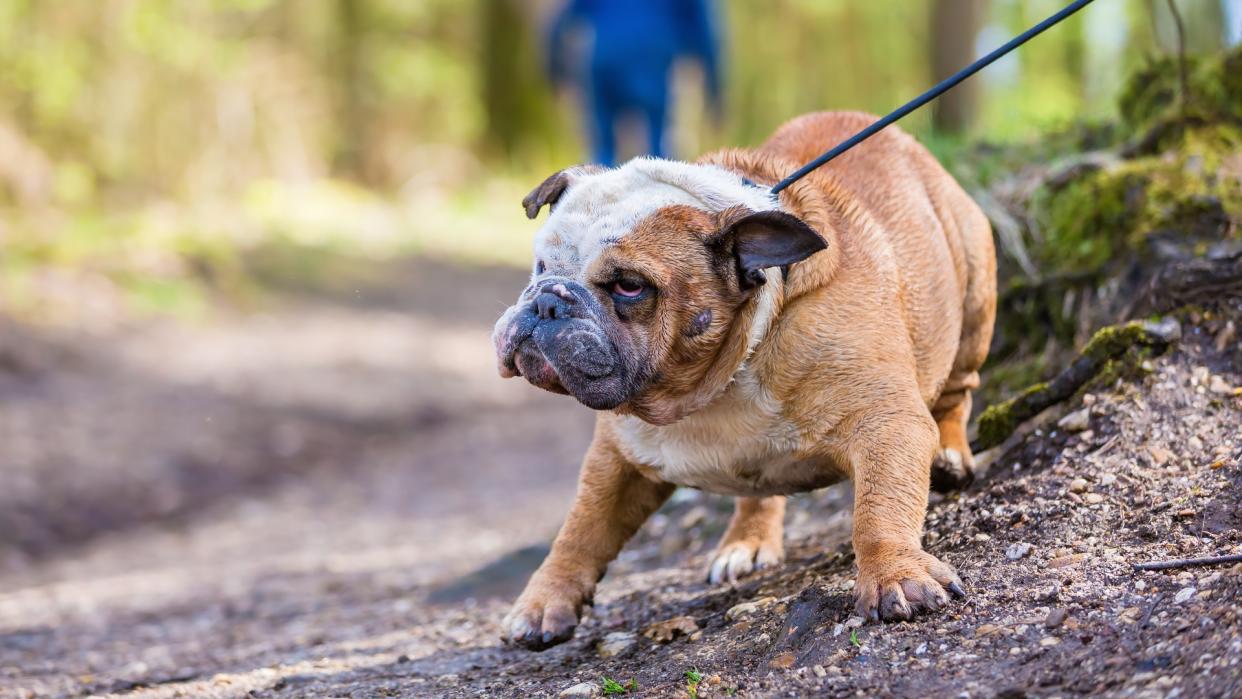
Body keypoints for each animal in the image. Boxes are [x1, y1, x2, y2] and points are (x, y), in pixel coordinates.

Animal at [489, 110, 993, 650]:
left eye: (629, 286)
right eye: (541, 265)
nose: (548, 299)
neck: (715, 381)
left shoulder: (886, 421)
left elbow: (879, 507)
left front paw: (895, 575)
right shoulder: (616, 458)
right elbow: (582, 529)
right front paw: (543, 604)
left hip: (974, 292)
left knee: (958, 391)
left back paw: (950, 455)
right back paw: (746, 542)